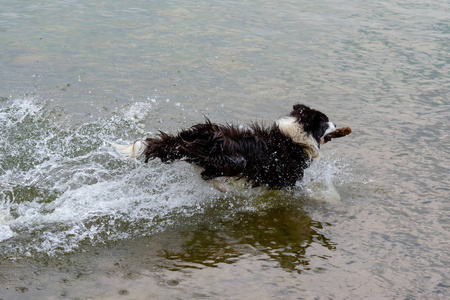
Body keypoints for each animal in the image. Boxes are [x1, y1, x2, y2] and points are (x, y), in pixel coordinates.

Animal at [113, 105, 338, 190]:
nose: (337, 125)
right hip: (236, 160)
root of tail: (200, 135)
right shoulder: (289, 177)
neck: (293, 138)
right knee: (206, 174)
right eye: (326, 122)